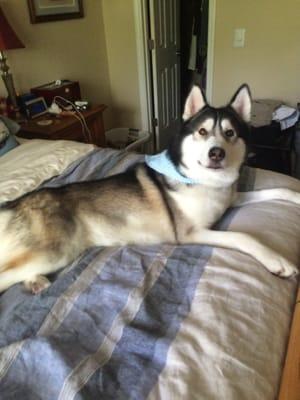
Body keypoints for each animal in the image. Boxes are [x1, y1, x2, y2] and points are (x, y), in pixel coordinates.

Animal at [0, 83, 300, 294]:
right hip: (54, 251)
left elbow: (275, 191)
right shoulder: (190, 234)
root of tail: (17, 202)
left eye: (229, 133)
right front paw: (277, 261)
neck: (203, 181)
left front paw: (295, 195)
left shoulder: (231, 197)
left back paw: (35, 282)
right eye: (202, 132)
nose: (216, 153)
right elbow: (244, 236)